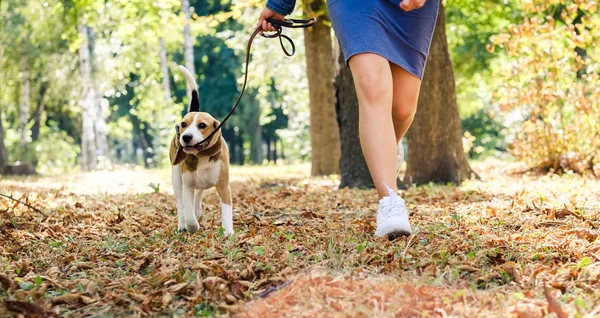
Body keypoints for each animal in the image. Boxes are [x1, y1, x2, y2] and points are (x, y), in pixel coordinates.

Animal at [171, 66, 234, 235]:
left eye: (202, 125)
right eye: (184, 124)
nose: (186, 137)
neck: (200, 157)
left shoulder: (223, 186)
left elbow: (226, 210)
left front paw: (228, 232)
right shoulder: (186, 186)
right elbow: (188, 212)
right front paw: (192, 226)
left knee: (199, 194)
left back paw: (197, 210)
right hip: (176, 179)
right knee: (181, 204)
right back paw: (182, 224)